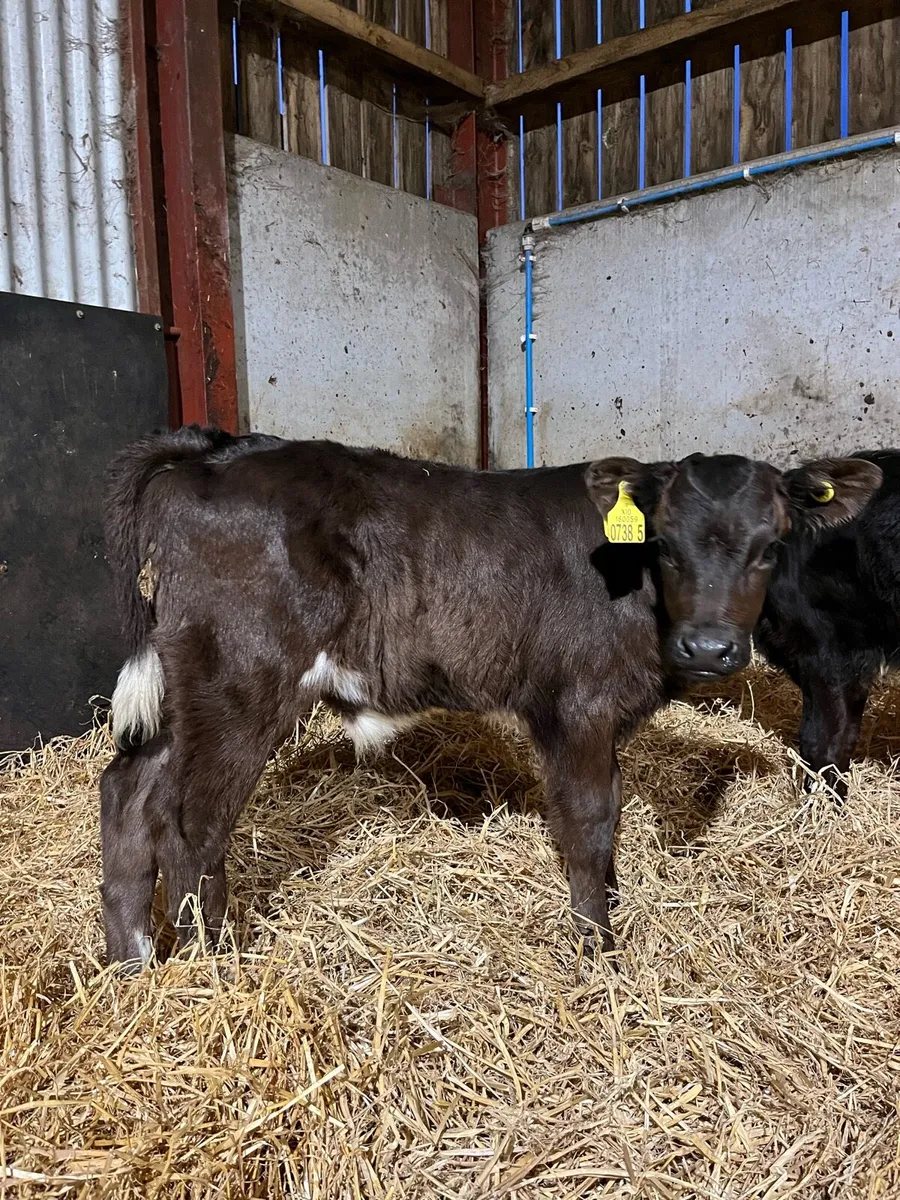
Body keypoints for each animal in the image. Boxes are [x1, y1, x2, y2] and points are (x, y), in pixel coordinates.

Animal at [99, 426, 881, 970]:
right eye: (663, 543)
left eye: (770, 546)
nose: (711, 649)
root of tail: (218, 450)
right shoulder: (576, 704)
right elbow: (589, 821)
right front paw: (598, 953)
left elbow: (610, 813)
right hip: (241, 677)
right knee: (192, 821)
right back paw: (216, 967)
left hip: (189, 684)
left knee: (130, 788)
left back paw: (133, 960)